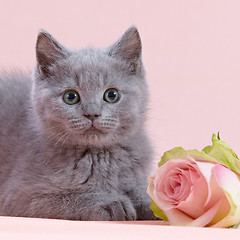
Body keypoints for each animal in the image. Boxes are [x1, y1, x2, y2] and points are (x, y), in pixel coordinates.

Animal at [0, 25, 154, 219]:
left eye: (112, 95)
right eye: (70, 97)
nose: (92, 114)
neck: (99, 157)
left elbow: (146, 192)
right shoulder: (19, 195)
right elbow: (69, 197)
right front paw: (110, 203)